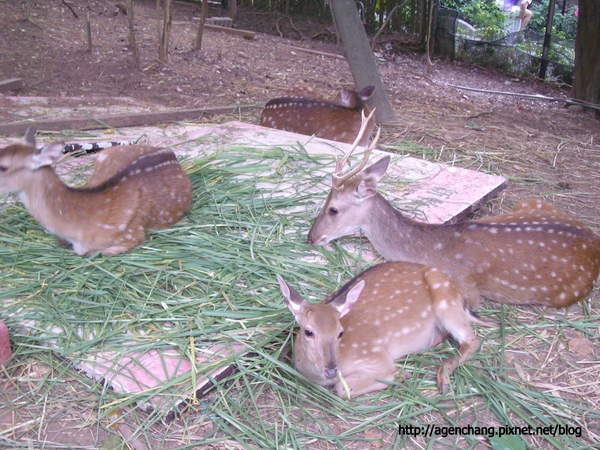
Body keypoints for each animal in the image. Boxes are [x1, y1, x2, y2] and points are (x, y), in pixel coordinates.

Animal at [278, 262, 486, 400]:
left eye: (340, 332)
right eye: (308, 331)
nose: (330, 370)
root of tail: (462, 299)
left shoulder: (376, 357)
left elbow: (343, 389)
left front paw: (400, 374)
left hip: (447, 301)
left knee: (472, 339)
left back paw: (442, 378)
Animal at [308, 113, 600, 310]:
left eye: (333, 209)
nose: (311, 237)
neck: (431, 251)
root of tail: (595, 241)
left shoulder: (468, 289)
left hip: (567, 292)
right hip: (531, 202)